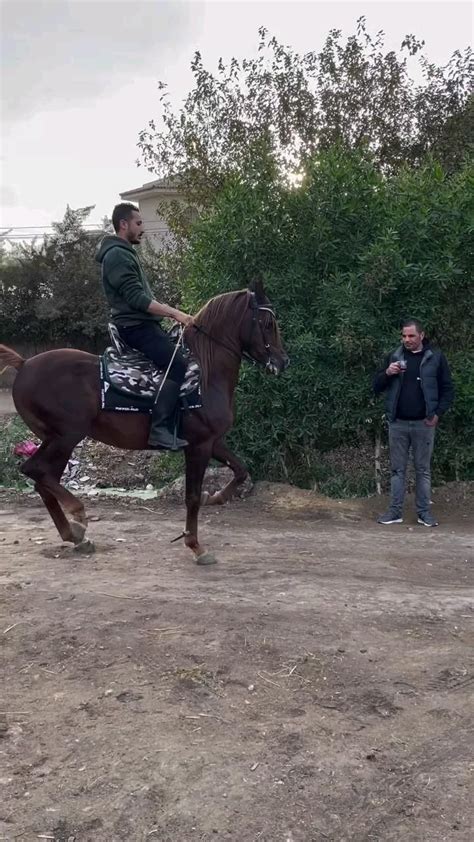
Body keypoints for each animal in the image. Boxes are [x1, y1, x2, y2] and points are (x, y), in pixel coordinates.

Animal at [0, 282, 288, 564]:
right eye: (267, 323)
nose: (283, 361)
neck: (205, 373)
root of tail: (24, 364)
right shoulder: (199, 446)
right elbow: (192, 497)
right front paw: (195, 545)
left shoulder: (214, 442)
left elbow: (240, 470)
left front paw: (215, 497)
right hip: (65, 437)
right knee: (35, 471)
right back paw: (78, 514)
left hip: (58, 442)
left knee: (44, 480)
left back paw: (75, 535)